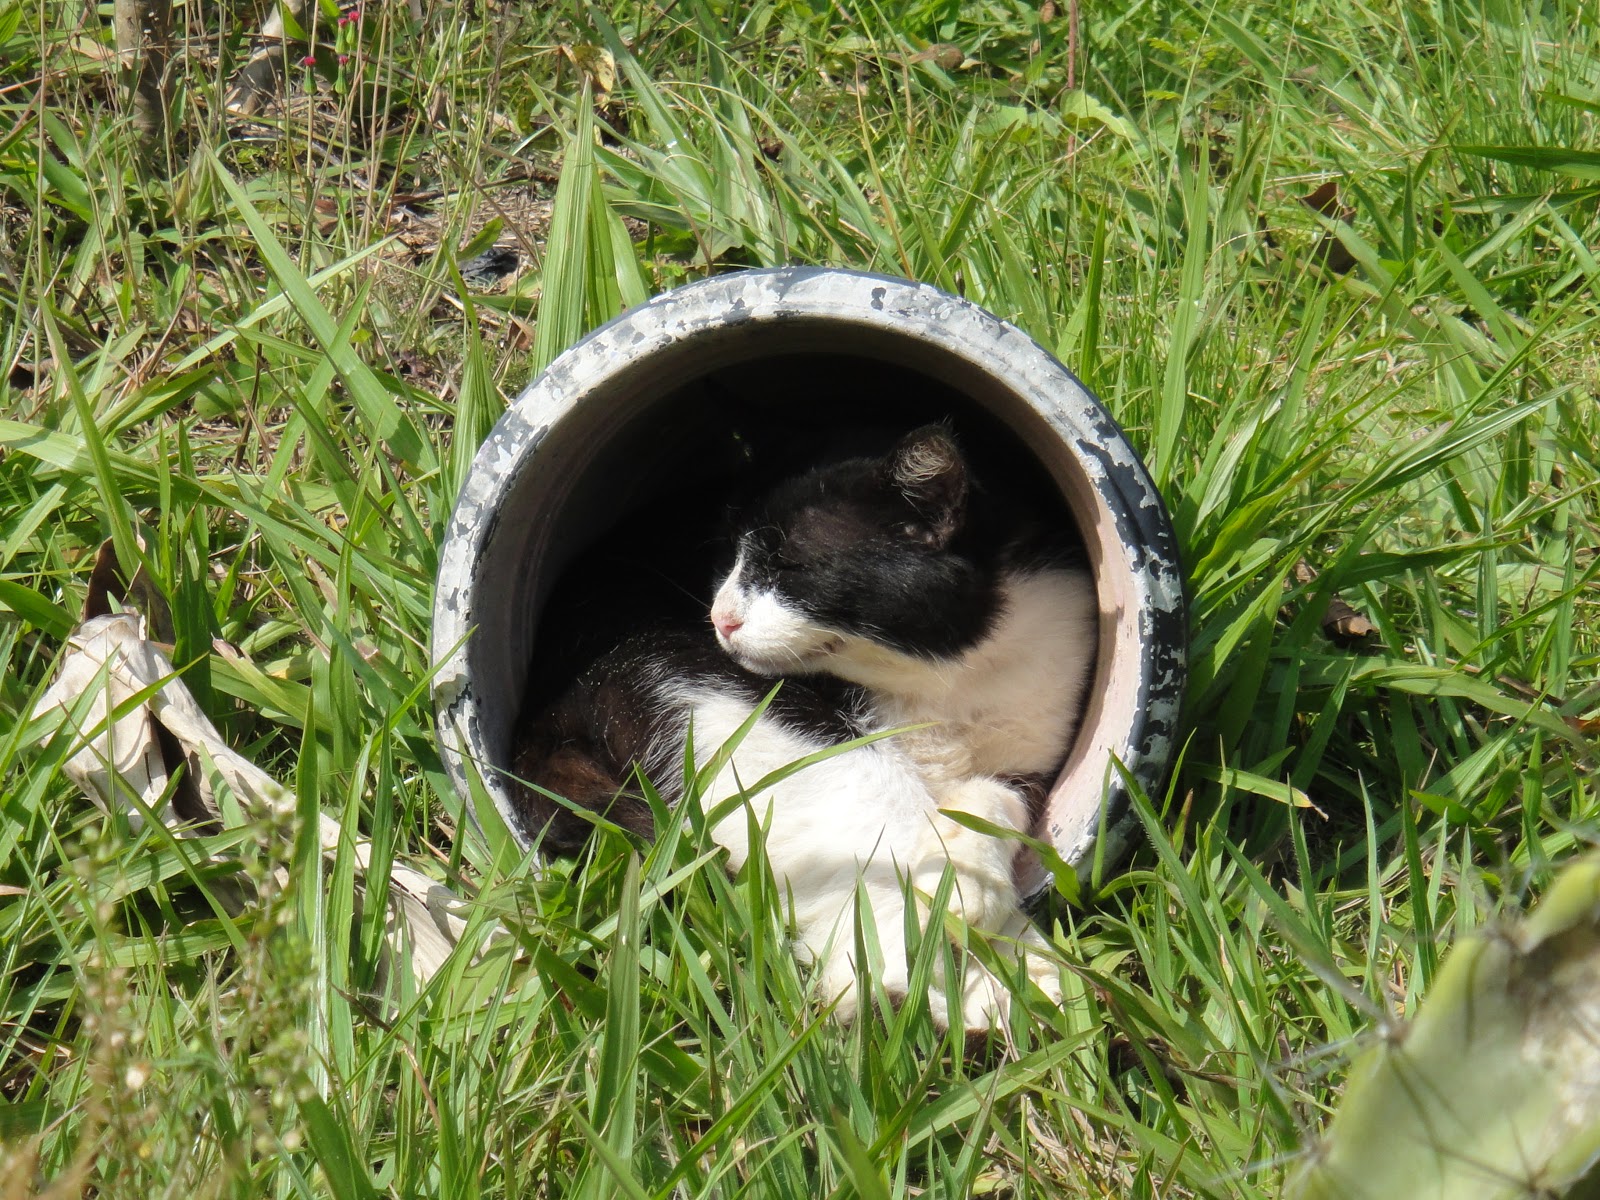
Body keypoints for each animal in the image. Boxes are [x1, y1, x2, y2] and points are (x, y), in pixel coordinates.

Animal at [510, 426, 1097, 1029]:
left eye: (786, 565)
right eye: (727, 556)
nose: (720, 616)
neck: (939, 681)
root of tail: (544, 719)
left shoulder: (1033, 738)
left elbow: (1000, 800)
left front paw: (972, 874)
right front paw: (960, 892)